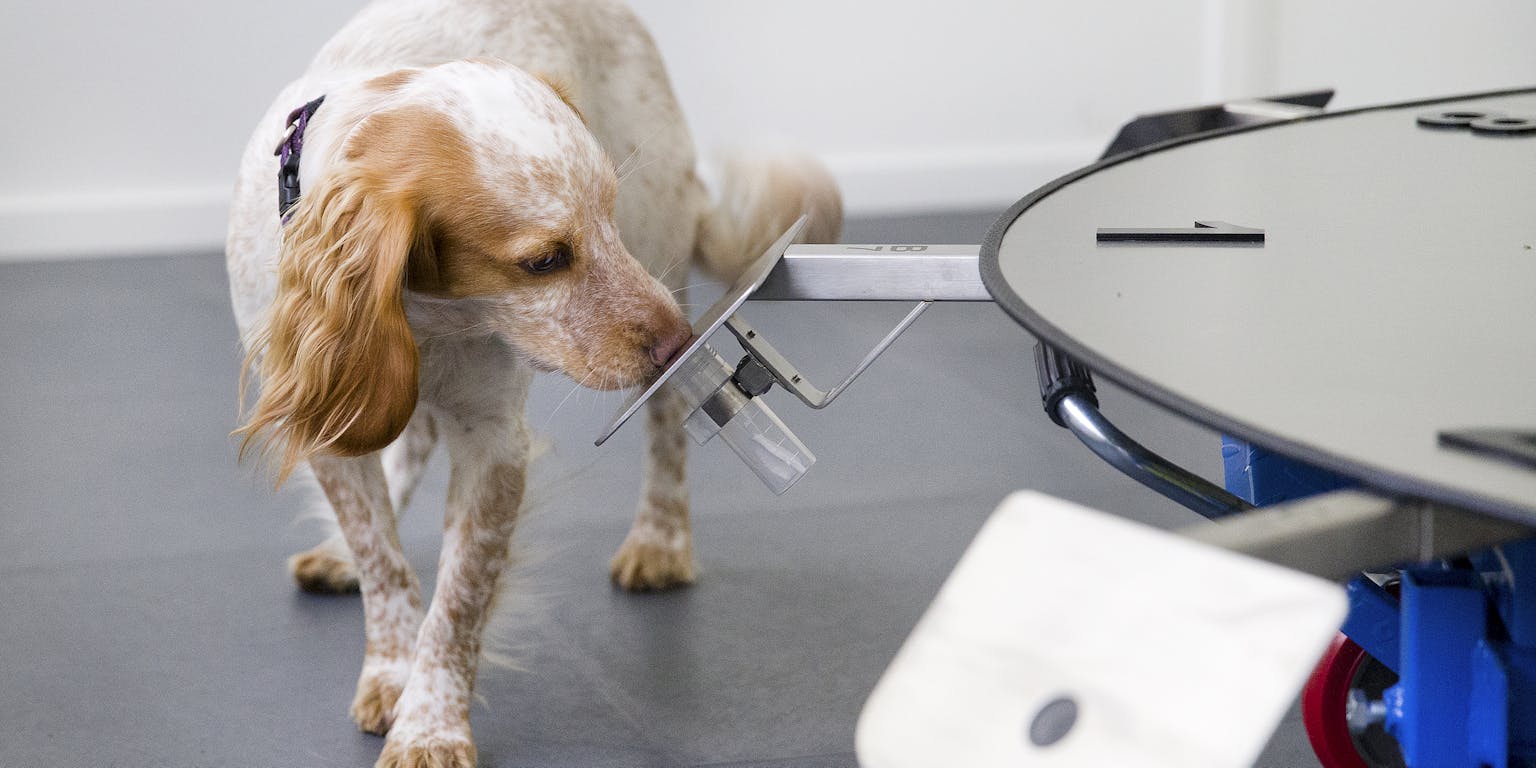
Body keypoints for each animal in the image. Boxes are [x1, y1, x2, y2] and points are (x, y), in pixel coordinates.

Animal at [222, 3, 841, 764]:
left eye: (607, 213)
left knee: (668, 428)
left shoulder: (494, 442)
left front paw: (429, 722)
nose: (675, 343)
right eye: (543, 261)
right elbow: (383, 560)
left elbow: (458, 601)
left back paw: (661, 542)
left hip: (662, 253)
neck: (427, 313)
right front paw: (392, 673)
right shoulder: (332, 418)